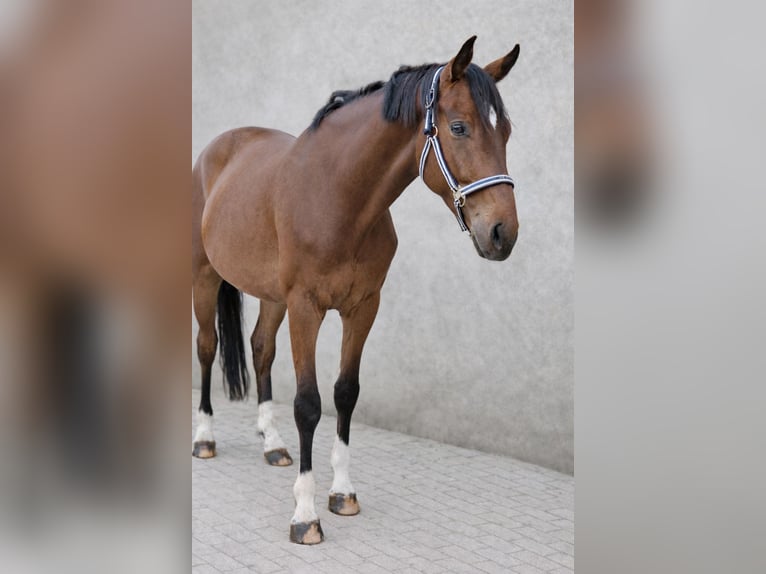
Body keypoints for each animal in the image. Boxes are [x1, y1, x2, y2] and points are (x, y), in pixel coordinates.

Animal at [192, 36, 521, 545]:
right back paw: (205, 438)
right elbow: (308, 404)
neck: (337, 198)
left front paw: (342, 493)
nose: (503, 233)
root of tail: (218, 146)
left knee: (261, 349)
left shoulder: (362, 306)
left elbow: (346, 392)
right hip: (205, 276)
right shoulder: (306, 307)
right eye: (460, 127)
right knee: (207, 348)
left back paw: (273, 444)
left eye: (505, 131)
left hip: (271, 296)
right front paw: (305, 514)